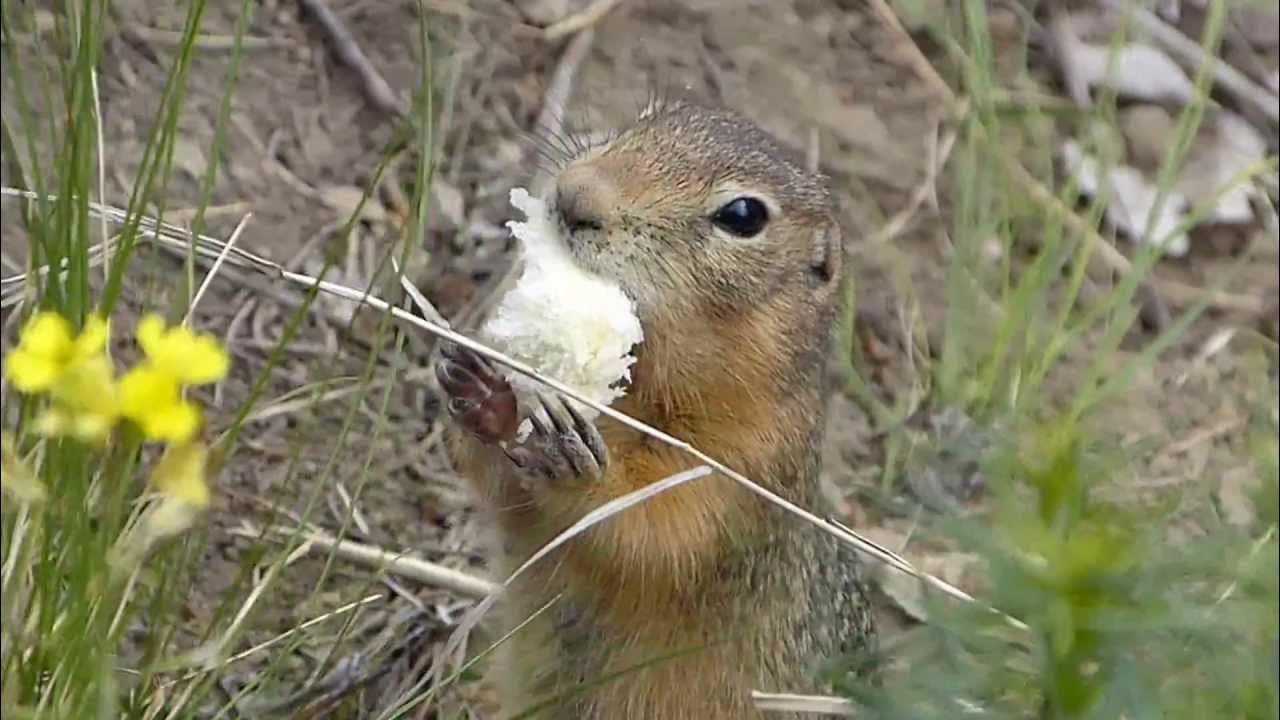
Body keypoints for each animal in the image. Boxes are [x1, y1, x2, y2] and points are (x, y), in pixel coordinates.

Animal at [435, 98, 875, 712]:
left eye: (744, 215)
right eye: (648, 116)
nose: (575, 195)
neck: (639, 393)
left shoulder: (741, 470)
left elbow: (657, 529)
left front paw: (579, 469)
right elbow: (505, 497)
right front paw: (488, 399)